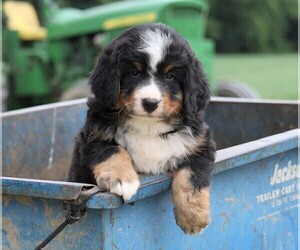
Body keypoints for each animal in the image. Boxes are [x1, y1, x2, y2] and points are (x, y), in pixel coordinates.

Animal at [68, 23, 216, 234]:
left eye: (170, 76)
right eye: (134, 73)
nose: (150, 103)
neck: (148, 126)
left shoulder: (201, 144)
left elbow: (192, 176)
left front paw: (193, 217)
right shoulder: (93, 135)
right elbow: (111, 150)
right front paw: (123, 180)